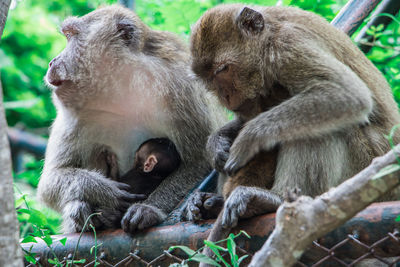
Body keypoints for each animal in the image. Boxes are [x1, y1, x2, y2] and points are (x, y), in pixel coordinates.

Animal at [38, 4, 227, 234]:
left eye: (71, 35)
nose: (52, 62)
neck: (122, 89)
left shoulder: (181, 87)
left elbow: (200, 161)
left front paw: (148, 209)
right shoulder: (73, 114)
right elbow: (52, 180)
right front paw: (104, 191)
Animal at [184, 3, 400, 255]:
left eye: (223, 69)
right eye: (208, 78)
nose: (225, 96)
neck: (269, 36)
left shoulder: (289, 47)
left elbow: (347, 94)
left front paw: (249, 138)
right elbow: (241, 121)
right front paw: (217, 143)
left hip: (368, 173)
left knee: (321, 127)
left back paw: (270, 200)